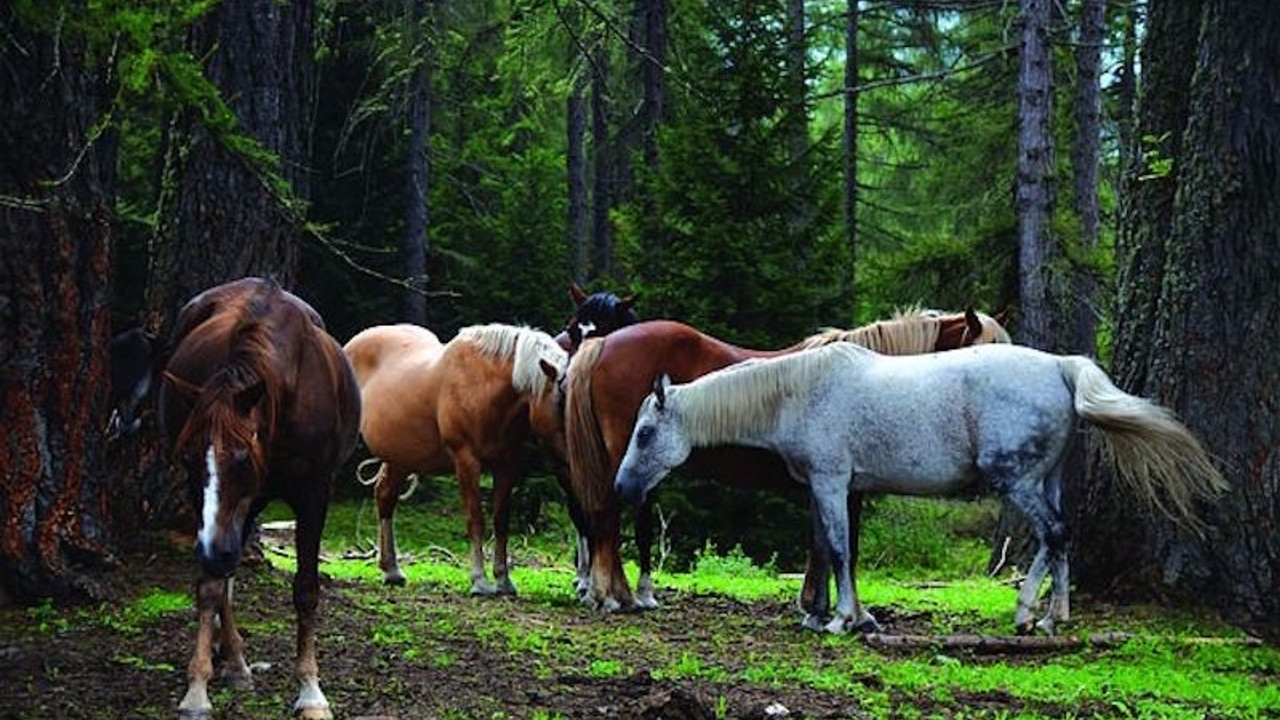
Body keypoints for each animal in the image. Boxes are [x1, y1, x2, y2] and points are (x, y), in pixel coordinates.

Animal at [160, 275, 363, 717]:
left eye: (240, 460)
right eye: (189, 459)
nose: (210, 550)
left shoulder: (314, 494)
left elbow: (306, 589)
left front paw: (310, 690)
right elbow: (211, 586)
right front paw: (197, 690)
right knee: (225, 575)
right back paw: (233, 660)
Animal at [348, 322, 573, 591]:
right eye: (560, 401)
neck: (483, 387)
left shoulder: (506, 465)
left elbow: (501, 520)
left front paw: (503, 580)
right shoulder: (466, 461)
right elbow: (475, 519)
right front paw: (479, 581)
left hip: (399, 456)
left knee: (385, 496)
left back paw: (391, 570)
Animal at [563, 304, 1008, 607]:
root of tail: (604, 342)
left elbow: (822, 541)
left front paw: (813, 603)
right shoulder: (846, 487)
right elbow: (842, 544)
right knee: (607, 517)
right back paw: (614, 595)